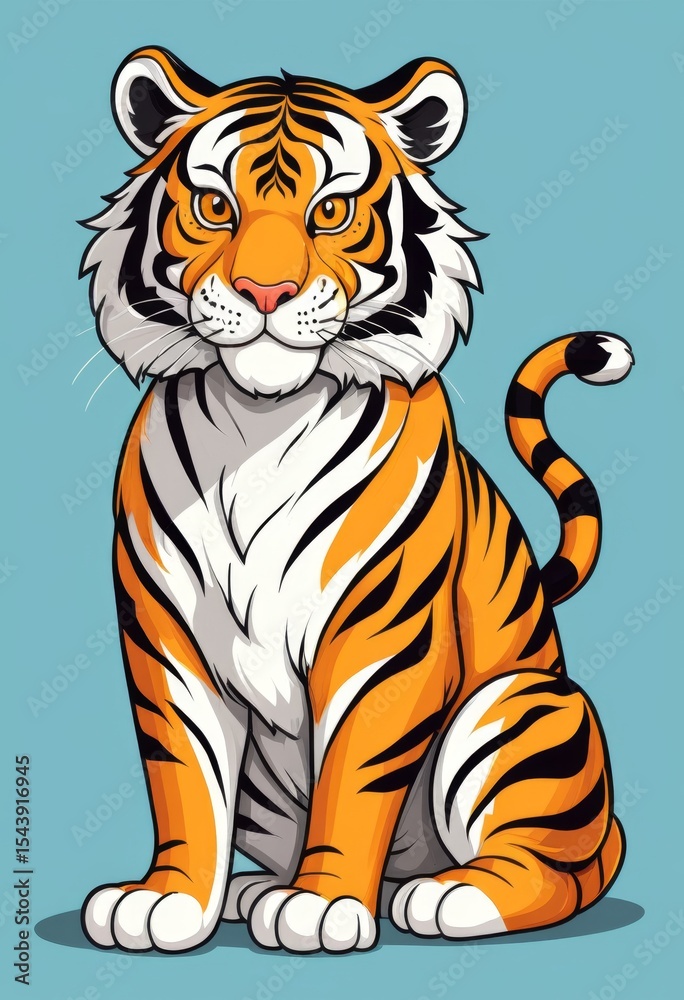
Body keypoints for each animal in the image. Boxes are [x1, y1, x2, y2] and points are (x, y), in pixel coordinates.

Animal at [79, 48, 633, 954]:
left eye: (330, 211)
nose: (265, 292)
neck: (259, 420)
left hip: (513, 709)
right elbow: (184, 775)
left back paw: (446, 897)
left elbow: (355, 775)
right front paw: (168, 901)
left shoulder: (382, 637)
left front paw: (321, 904)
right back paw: (256, 890)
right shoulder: (168, 636)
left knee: (572, 869)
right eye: (215, 207)